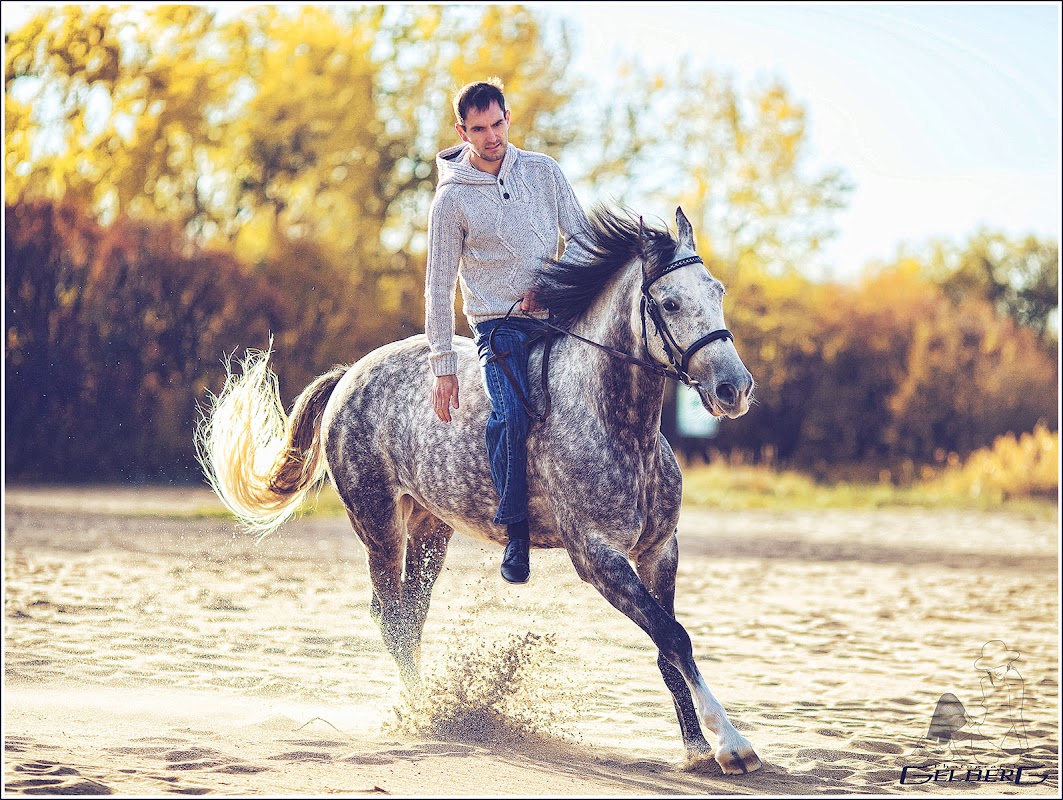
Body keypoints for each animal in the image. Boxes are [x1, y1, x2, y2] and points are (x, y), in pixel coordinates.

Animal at [197, 206, 765, 773]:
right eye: (670, 302)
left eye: (717, 291)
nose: (734, 390)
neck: (620, 425)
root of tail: (350, 375)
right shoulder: (598, 557)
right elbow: (673, 636)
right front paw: (731, 745)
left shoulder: (658, 551)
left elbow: (669, 645)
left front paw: (695, 749)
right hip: (378, 524)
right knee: (391, 617)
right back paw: (423, 716)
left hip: (431, 527)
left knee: (412, 616)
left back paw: (426, 706)